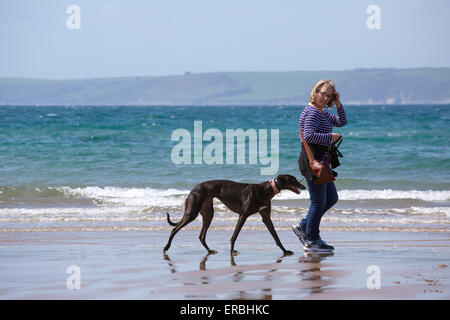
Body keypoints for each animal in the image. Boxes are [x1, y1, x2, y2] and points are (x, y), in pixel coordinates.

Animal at [163, 175, 308, 255]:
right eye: (293, 180)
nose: (304, 186)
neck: (265, 190)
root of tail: (193, 189)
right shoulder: (243, 215)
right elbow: (234, 235)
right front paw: (232, 250)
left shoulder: (266, 217)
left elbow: (276, 237)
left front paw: (285, 251)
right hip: (191, 213)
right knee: (174, 229)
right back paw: (166, 247)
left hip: (208, 214)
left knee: (201, 236)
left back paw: (209, 251)